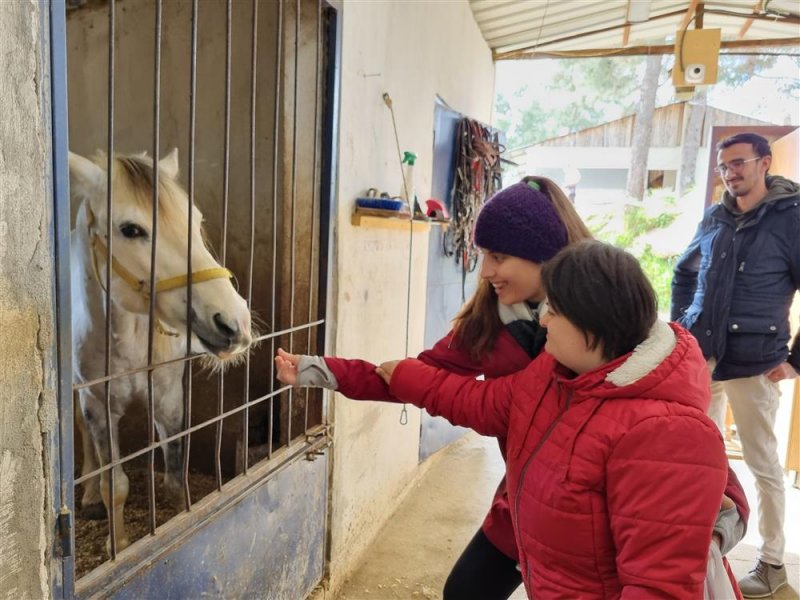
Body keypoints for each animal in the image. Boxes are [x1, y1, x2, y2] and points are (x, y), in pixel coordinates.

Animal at [72, 150, 253, 552]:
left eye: (196, 221)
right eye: (131, 230)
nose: (234, 323)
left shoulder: (169, 395)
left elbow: (173, 474)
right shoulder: (99, 404)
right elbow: (114, 485)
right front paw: (119, 545)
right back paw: (88, 493)